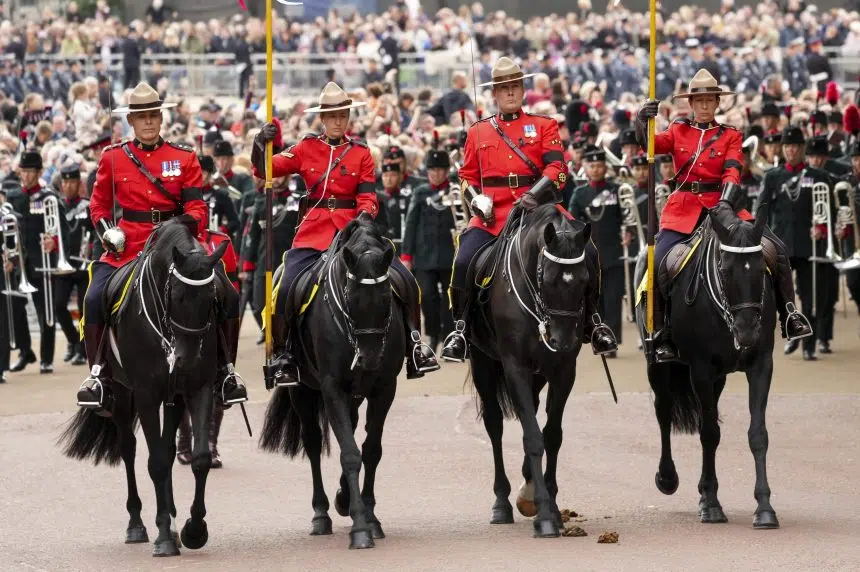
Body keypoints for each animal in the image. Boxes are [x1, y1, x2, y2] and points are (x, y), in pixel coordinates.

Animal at [58, 218, 233, 556]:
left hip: (173, 396)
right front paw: (164, 535)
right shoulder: (146, 394)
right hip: (122, 395)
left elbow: (198, 458)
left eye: (212, 298)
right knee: (129, 449)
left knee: (167, 448)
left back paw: (174, 522)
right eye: (175, 295)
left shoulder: (196, 388)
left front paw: (193, 529)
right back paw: (138, 524)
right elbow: (156, 463)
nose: (186, 360)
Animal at [262, 219, 406, 548]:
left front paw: (369, 515)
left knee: (349, 429)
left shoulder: (384, 389)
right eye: (350, 298)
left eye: (386, 297)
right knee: (314, 443)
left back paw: (343, 498)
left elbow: (370, 450)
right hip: (303, 390)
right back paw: (321, 514)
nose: (369, 358)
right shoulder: (332, 388)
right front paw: (360, 527)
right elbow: (350, 453)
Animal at [464, 204, 596, 536]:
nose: (562, 340)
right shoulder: (516, 367)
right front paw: (545, 513)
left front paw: (549, 503)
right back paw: (502, 502)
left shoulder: (563, 370)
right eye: (547, 280)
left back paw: (527, 488)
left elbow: (551, 435)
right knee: (495, 425)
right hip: (483, 362)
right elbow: (533, 437)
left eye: (585, 280)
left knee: (533, 410)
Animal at [632, 204, 780, 528]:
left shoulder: (761, 365)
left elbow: (758, 434)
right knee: (664, 412)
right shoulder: (700, 369)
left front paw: (764, 507)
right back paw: (668, 477)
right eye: (724, 269)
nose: (747, 331)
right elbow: (710, 433)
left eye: (760, 267)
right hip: (658, 366)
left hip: (718, 378)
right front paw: (712, 505)